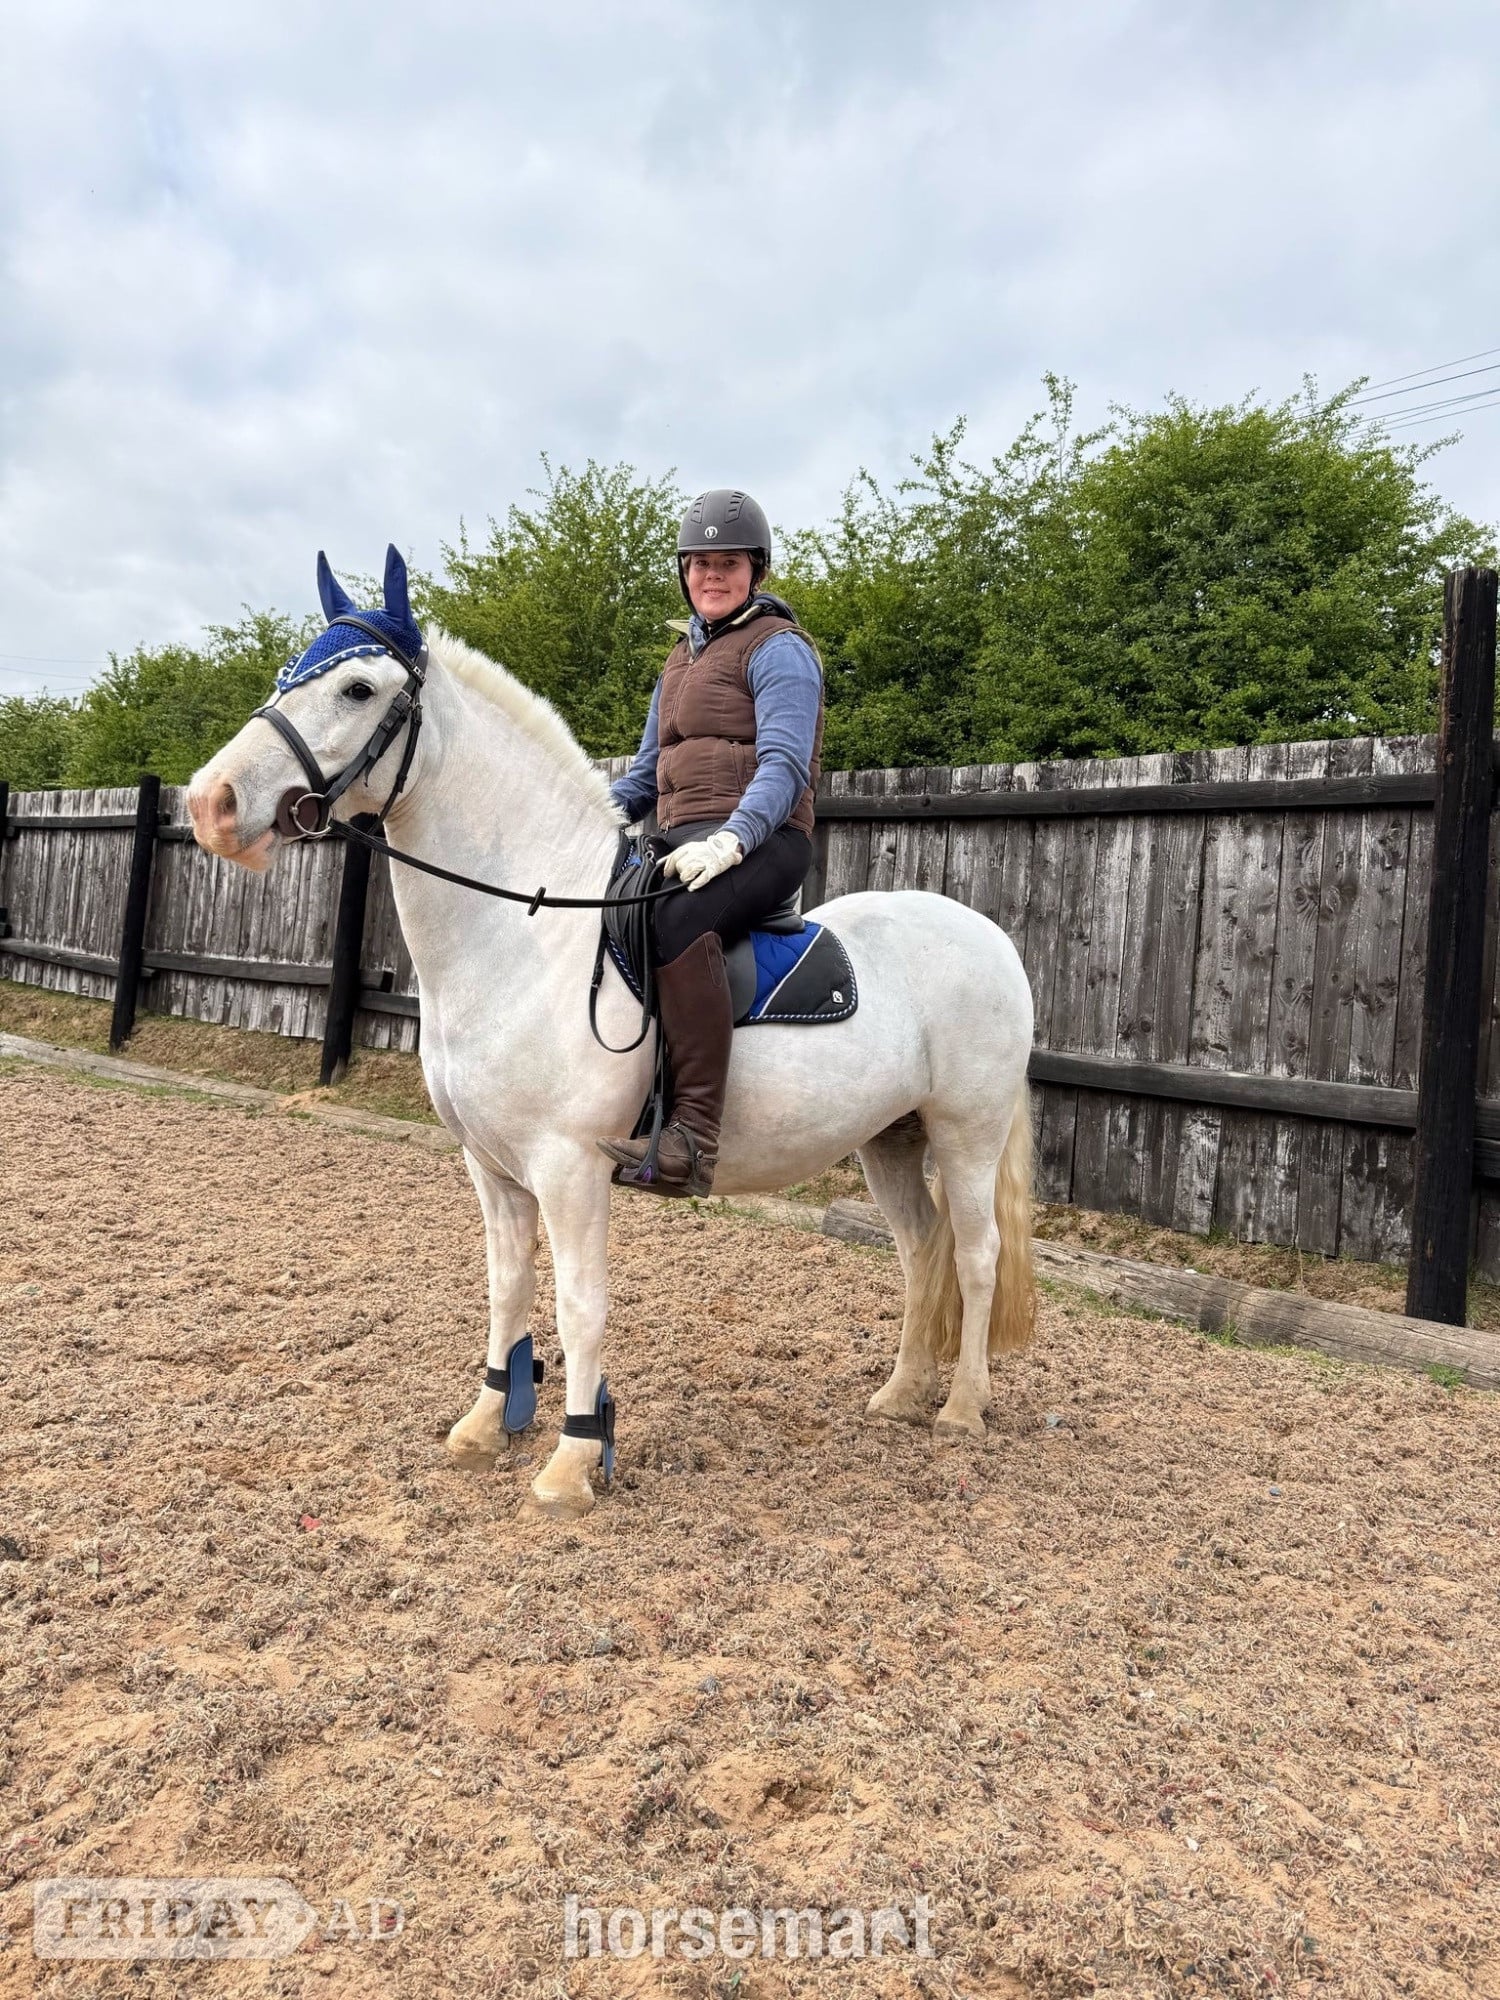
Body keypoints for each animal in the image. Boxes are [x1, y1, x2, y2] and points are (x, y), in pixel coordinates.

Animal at [186, 548, 1036, 1519]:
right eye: (286, 675)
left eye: (358, 689)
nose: (210, 803)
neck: (527, 930)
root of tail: (988, 935)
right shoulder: (491, 1166)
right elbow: (508, 1287)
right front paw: (487, 1423)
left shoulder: (571, 1168)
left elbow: (581, 1304)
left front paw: (572, 1461)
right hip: (890, 1138)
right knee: (922, 1250)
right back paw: (900, 1393)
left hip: (966, 1132)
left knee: (976, 1254)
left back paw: (962, 1407)